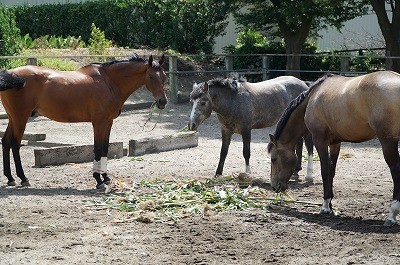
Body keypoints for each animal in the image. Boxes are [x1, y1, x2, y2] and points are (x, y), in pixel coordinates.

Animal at [0, 53, 167, 188]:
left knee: (6, 141)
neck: (109, 81)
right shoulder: (98, 122)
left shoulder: (108, 122)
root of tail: (11, 74)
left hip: (13, 118)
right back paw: (23, 178)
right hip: (20, 118)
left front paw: (106, 178)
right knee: (15, 144)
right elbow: (98, 149)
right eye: (151, 76)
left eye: (164, 76)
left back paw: (10, 178)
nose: (162, 101)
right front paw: (98, 180)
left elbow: (105, 149)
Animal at [268, 71, 400, 226]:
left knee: (396, 172)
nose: (274, 186)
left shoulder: (320, 141)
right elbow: (332, 172)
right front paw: (330, 204)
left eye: (273, 159)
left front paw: (325, 206)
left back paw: (392, 214)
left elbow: (325, 171)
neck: (313, 98)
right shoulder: (334, 143)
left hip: (388, 142)